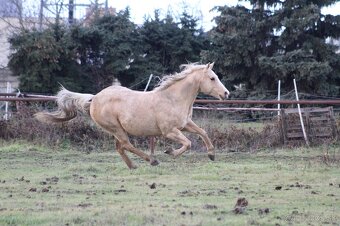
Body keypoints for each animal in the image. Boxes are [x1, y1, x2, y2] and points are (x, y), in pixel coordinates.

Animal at [35, 62, 230, 169]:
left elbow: (203, 132)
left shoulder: (185, 124)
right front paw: (170, 152)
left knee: (120, 148)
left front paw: (211, 154)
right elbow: (188, 143)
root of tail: (95, 98)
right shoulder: (170, 131)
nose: (226, 93)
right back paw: (151, 160)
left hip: (116, 130)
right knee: (126, 145)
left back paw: (133, 166)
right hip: (115, 128)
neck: (172, 98)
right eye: (212, 78)